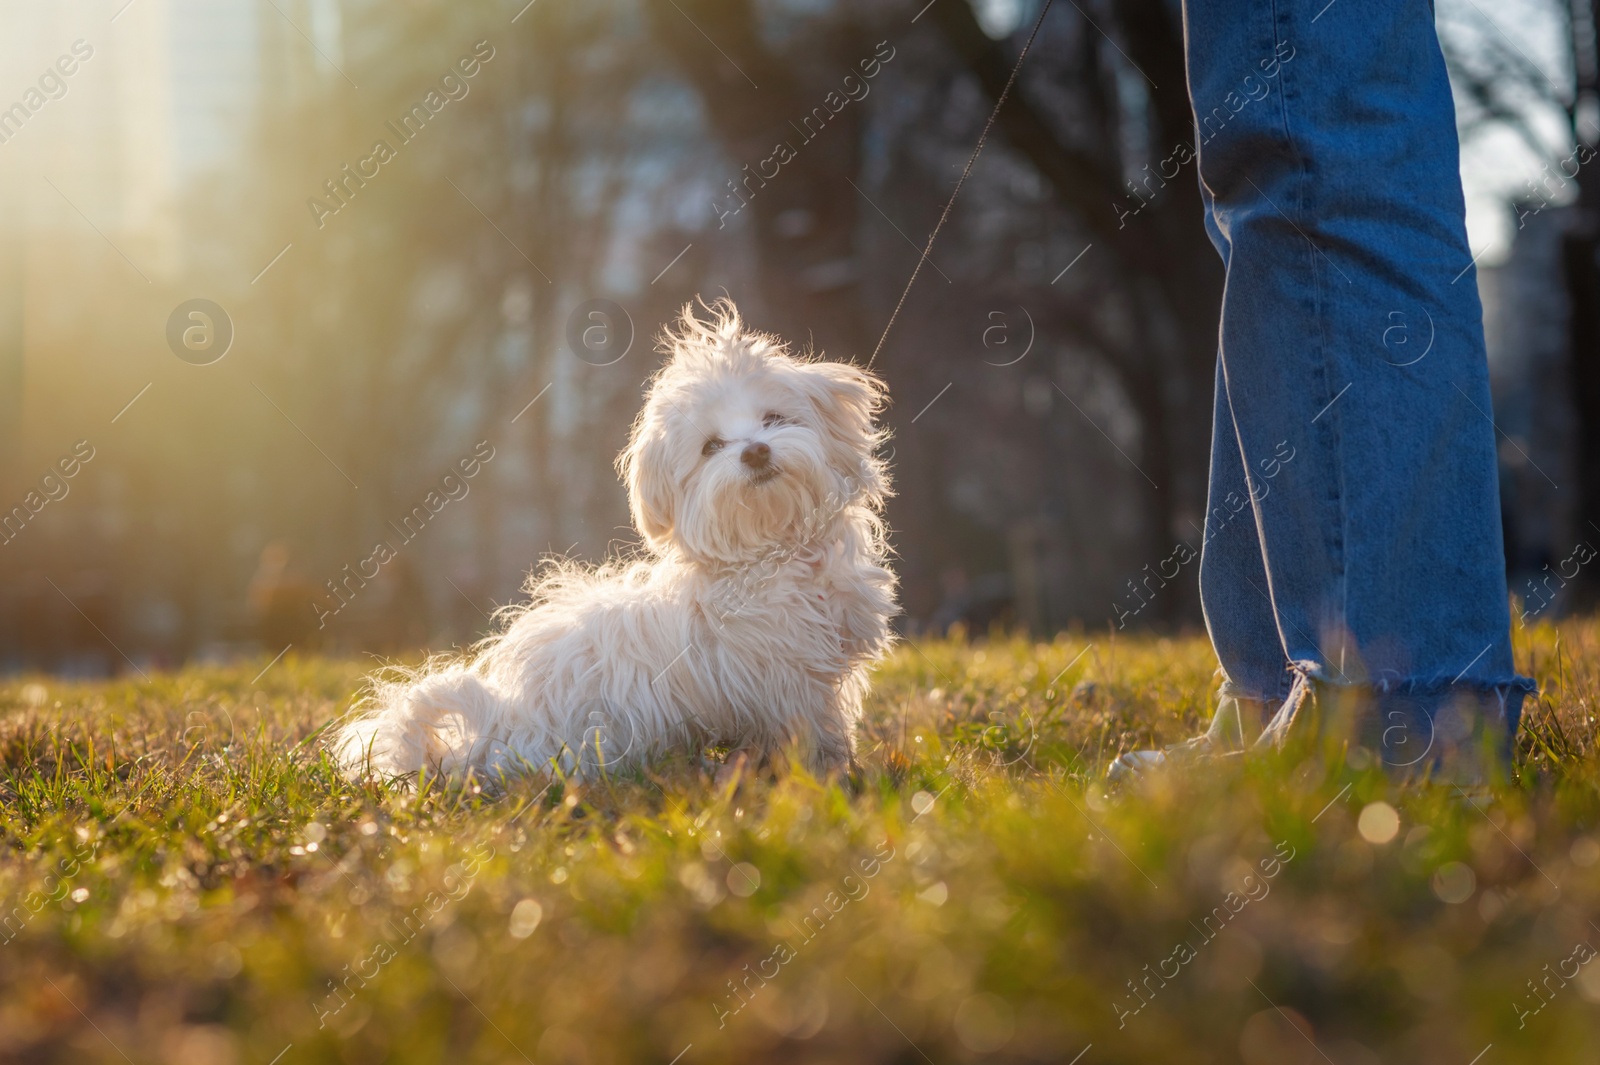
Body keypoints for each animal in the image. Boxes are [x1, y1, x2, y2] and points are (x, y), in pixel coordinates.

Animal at [334, 299, 902, 780]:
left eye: (774, 419)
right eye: (711, 446)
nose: (756, 451)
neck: (776, 548)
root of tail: (497, 726)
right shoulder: (790, 679)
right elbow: (814, 731)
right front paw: (829, 776)